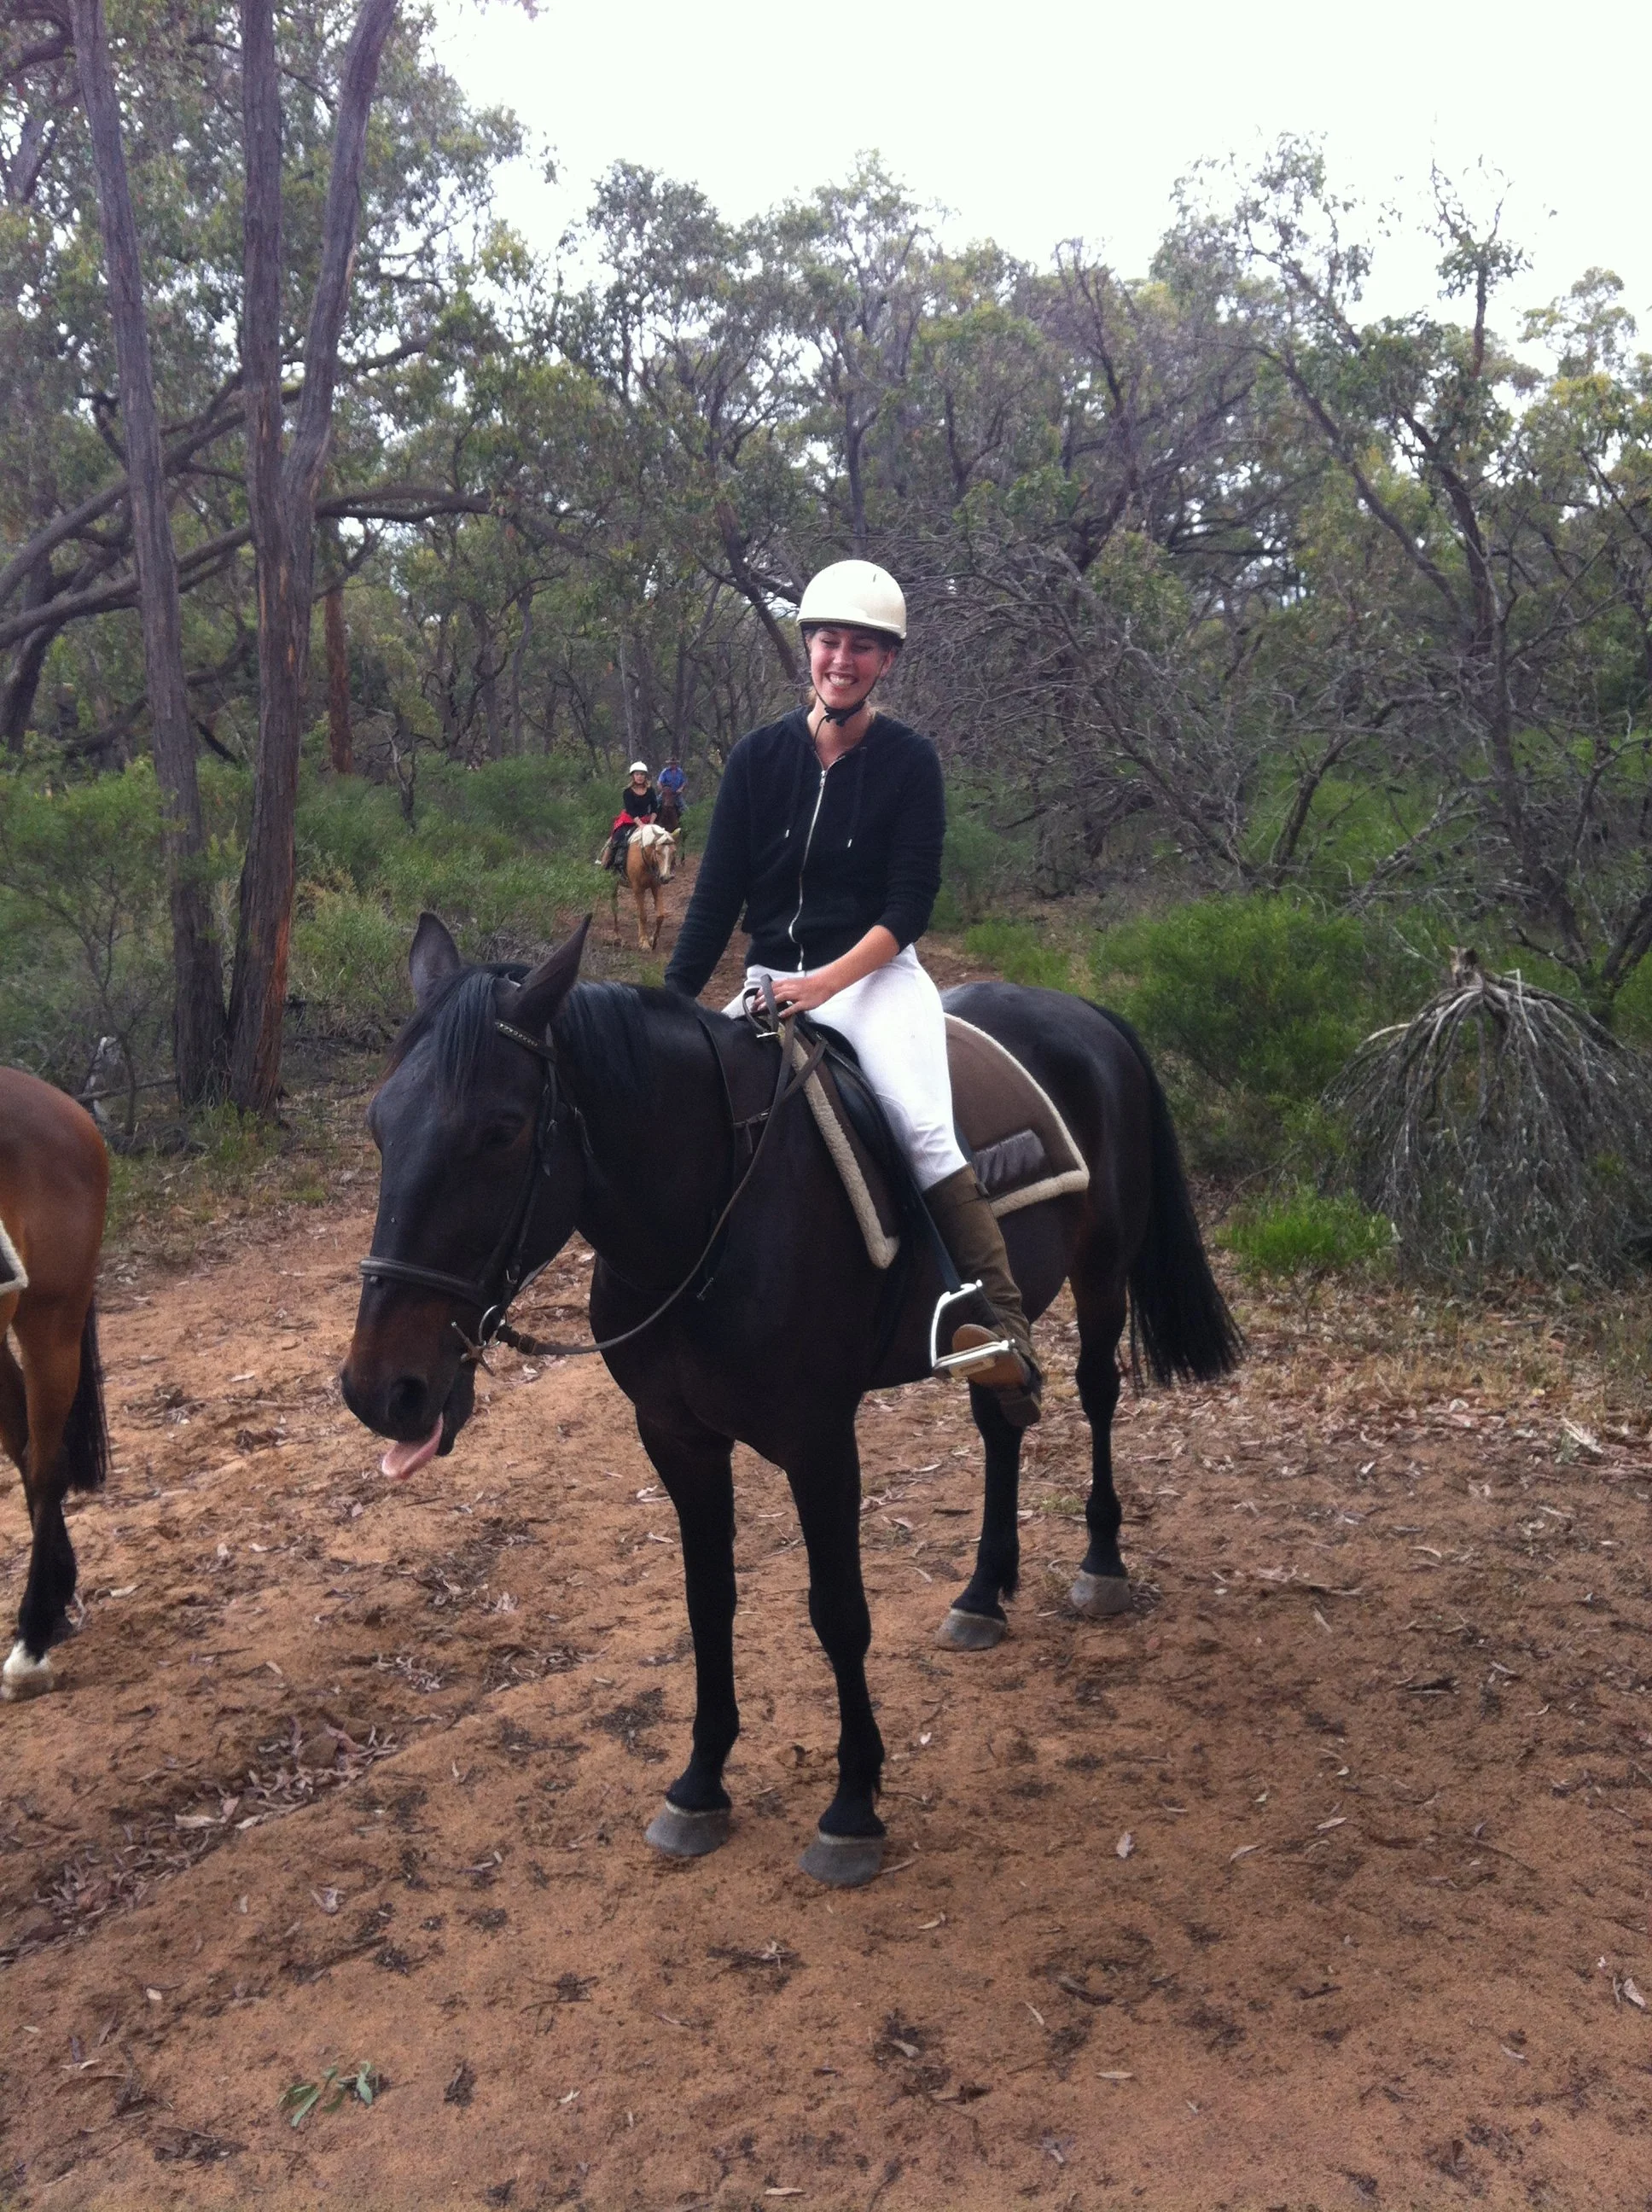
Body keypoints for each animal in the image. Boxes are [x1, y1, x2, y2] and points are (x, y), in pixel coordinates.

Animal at [342, 915, 1239, 1886]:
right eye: (378, 1125)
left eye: (502, 1131)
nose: (380, 1391)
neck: (711, 1215)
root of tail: (1082, 1012)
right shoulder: (676, 1438)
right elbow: (708, 1602)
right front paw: (699, 1785)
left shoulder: (819, 1442)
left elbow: (838, 1612)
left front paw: (851, 1808)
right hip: (1004, 1323)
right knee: (999, 1420)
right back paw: (980, 1593)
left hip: (1102, 1273)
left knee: (1099, 1393)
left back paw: (1101, 1564)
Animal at [614, 822, 680, 951]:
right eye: (658, 851)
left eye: (673, 852)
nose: (666, 877)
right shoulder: (638, 889)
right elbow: (643, 915)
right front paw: (644, 942)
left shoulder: (656, 887)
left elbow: (660, 915)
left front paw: (652, 940)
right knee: (614, 907)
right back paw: (617, 936)